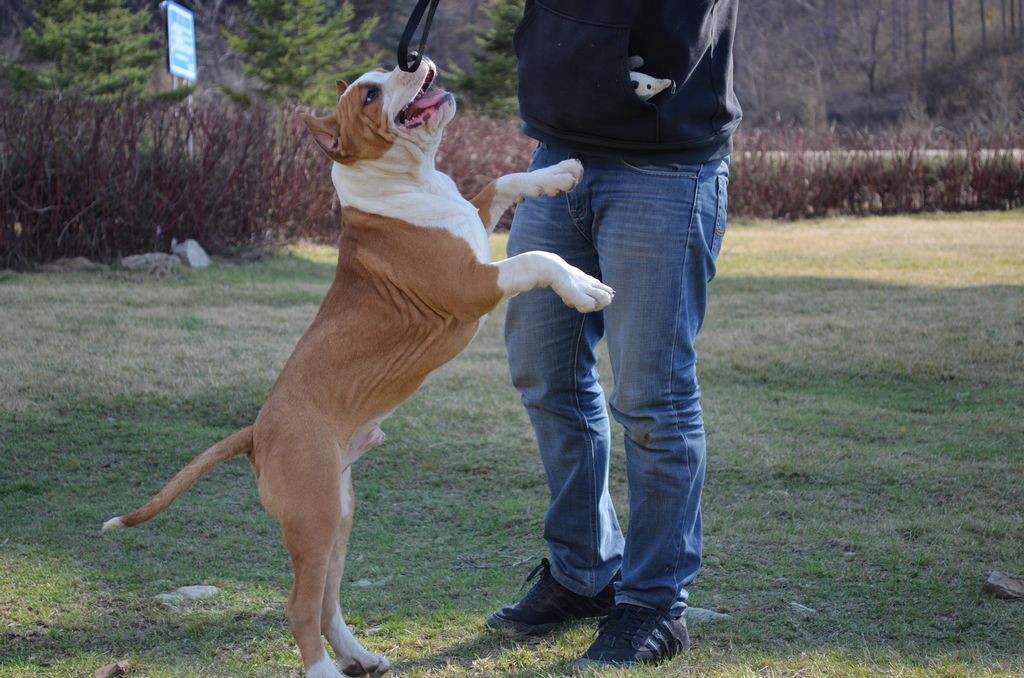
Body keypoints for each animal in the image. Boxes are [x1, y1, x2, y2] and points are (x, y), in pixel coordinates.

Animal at [102, 59, 610, 678]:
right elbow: (539, 257)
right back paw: (323, 668)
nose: (412, 61)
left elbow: (504, 183)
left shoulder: (474, 223)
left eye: (384, 71)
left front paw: (560, 173)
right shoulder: (473, 284)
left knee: (326, 601)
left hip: (338, 516)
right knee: (299, 607)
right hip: (315, 517)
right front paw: (582, 286)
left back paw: (359, 655)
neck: (407, 178)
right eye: (370, 95)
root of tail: (256, 432)